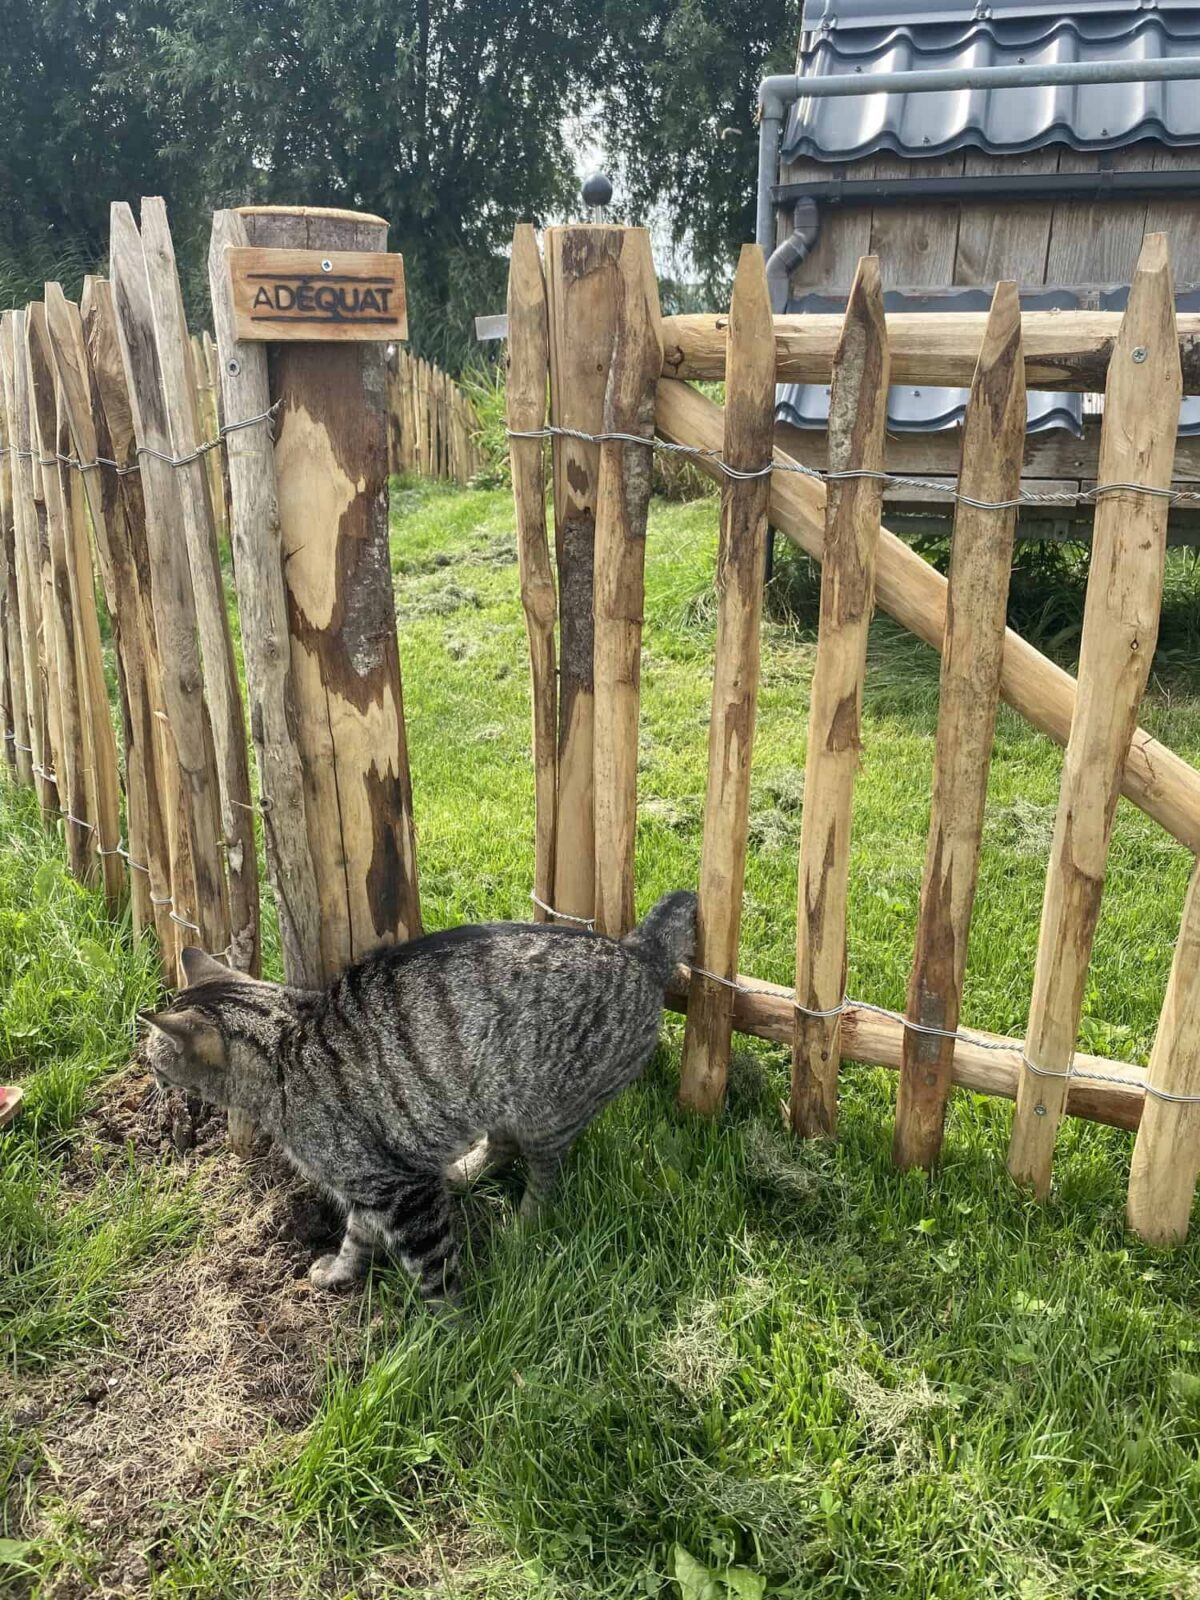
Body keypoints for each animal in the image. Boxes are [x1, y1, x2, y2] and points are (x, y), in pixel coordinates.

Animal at [140, 896, 700, 1305]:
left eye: (153, 1060)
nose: (150, 1080)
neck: (283, 1046)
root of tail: (639, 953)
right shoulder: (372, 1185)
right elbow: (357, 1236)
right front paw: (341, 1272)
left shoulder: (405, 1190)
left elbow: (434, 1271)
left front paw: (451, 1336)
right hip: (494, 1095)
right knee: (502, 1147)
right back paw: (467, 1172)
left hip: (549, 1114)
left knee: (545, 1178)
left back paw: (523, 1228)